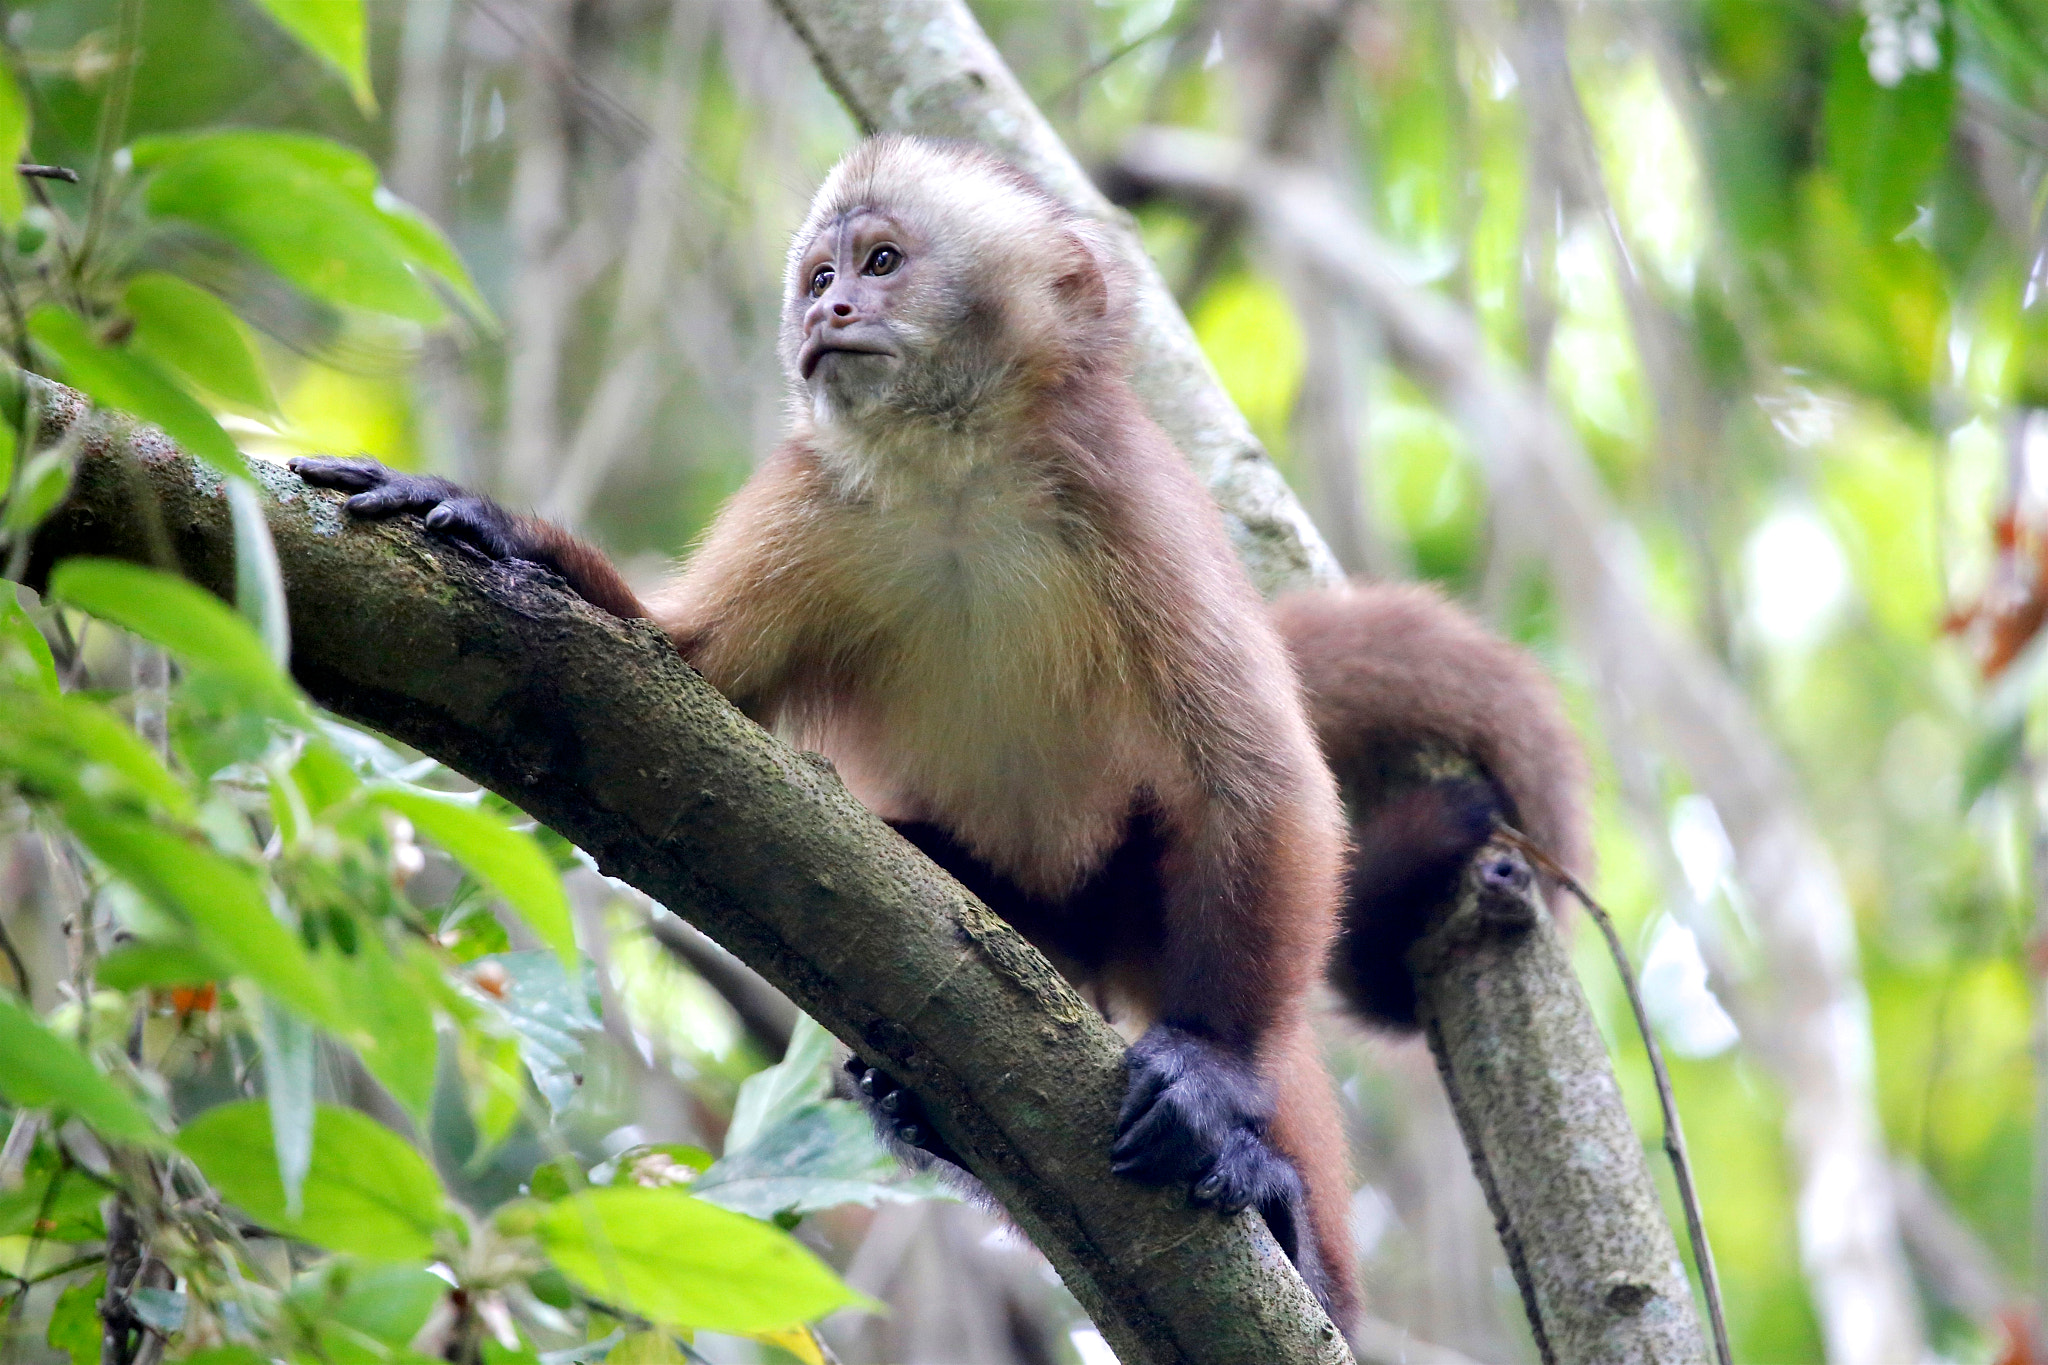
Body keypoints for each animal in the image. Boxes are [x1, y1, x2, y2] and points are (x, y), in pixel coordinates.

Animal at [292, 134, 1589, 1331]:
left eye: (880, 264)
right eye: (819, 277)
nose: (830, 310)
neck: (955, 474)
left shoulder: (1124, 491)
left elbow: (1257, 779)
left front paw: (1213, 1073)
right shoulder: (812, 501)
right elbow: (679, 670)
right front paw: (505, 535)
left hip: (1139, 897)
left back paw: (1287, 1231)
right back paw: (928, 1112)